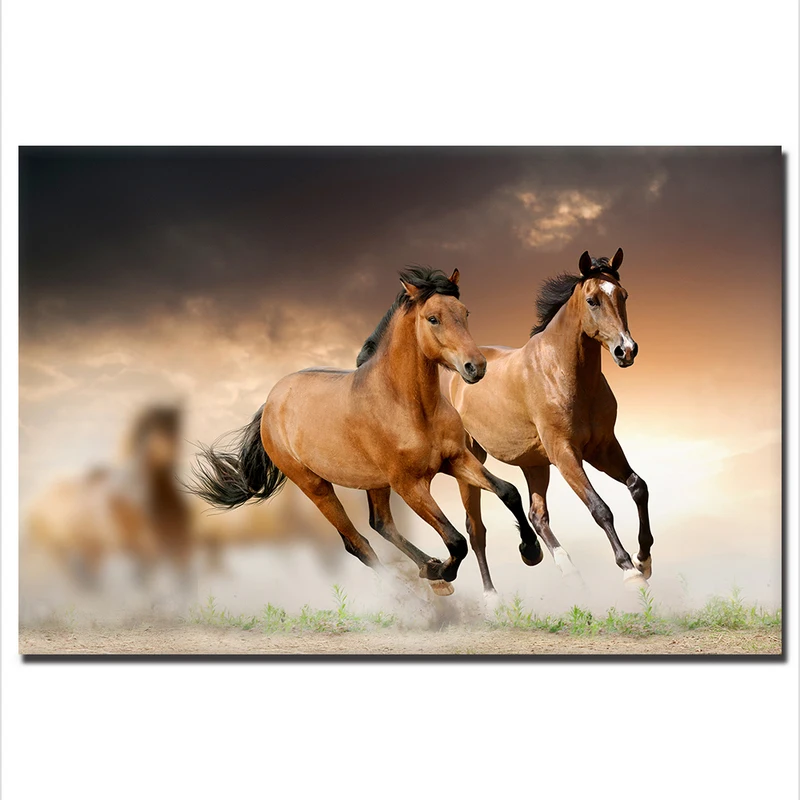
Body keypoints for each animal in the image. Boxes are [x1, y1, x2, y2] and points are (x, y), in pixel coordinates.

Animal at [188, 267, 543, 596]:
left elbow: (508, 491)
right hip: (316, 486)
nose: (476, 367)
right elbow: (455, 540)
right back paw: (412, 588)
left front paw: (531, 551)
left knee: (380, 524)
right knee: (356, 542)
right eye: (433, 318)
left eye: (465, 312)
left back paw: (427, 568)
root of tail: (271, 403)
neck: (410, 406)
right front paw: (442, 572)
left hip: (375, 482)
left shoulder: (455, 459)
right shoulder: (410, 485)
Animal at [444, 249, 653, 592]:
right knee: (476, 530)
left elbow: (638, 487)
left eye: (623, 295)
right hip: (471, 461)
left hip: (535, 464)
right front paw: (629, 570)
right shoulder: (565, 453)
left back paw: (562, 567)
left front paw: (644, 559)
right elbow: (600, 508)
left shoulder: (603, 447)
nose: (627, 350)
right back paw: (492, 596)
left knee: (536, 515)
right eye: (593, 300)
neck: (563, 373)